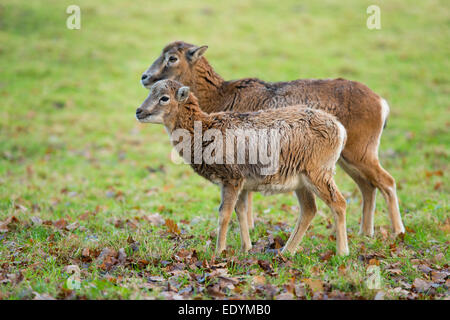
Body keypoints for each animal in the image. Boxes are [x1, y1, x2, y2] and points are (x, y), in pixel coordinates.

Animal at [135, 79, 350, 255]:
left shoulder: (231, 178)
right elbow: (241, 212)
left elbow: (224, 213)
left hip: (318, 172)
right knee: (309, 210)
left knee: (338, 203)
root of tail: (340, 129)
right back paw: (286, 252)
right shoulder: (240, 183)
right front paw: (245, 248)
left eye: (164, 98)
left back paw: (342, 253)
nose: (139, 111)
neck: (204, 132)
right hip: (300, 180)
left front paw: (219, 251)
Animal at [140, 41, 404, 238]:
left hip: (359, 153)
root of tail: (381, 103)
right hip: (345, 160)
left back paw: (398, 232)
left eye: (172, 58)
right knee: (368, 186)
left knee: (387, 182)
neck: (220, 97)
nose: (145, 76)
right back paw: (364, 233)